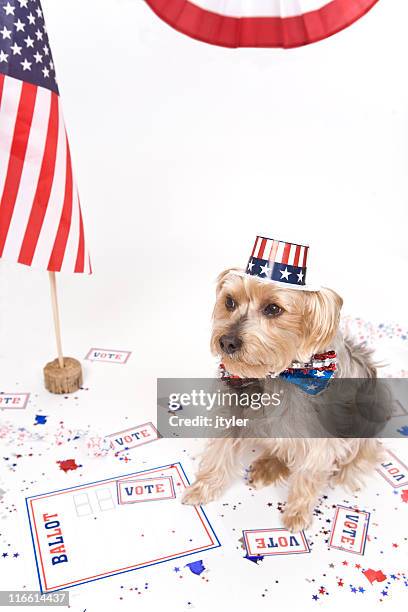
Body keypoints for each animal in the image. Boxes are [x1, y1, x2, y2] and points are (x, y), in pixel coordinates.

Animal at [183, 237, 384, 532]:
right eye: (229, 302)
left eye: (273, 309)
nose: (227, 342)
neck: (275, 374)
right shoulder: (233, 409)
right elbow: (219, 451)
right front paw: (203, 486)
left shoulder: (319, 437)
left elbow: (310, 473)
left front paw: (297, 513)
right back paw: (269, 465)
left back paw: (345, 470)